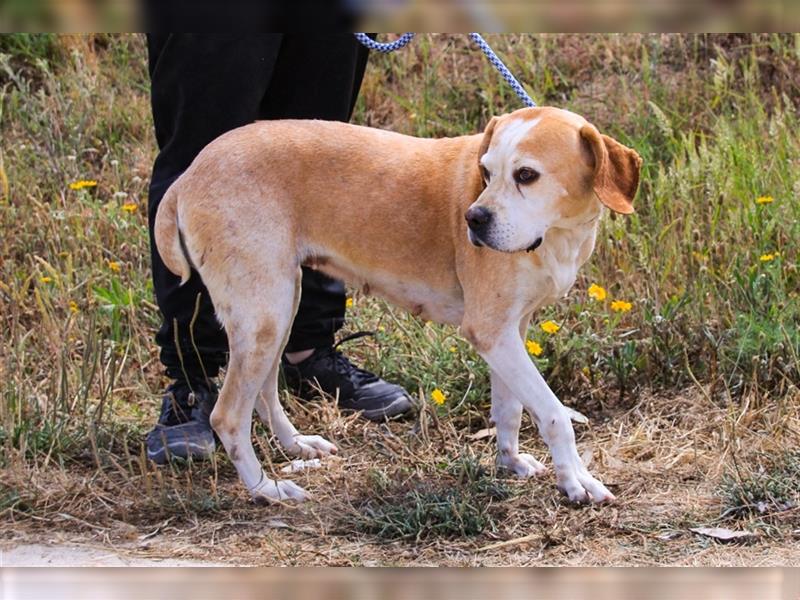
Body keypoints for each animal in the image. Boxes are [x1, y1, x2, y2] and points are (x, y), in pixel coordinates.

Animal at [155, 106, 644, 506]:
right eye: (486, 173)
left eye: (526, 175)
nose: (473, 219)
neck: (557, 234)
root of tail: (189, 173)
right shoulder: (491, 332)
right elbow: (555, 414)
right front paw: (577, 481)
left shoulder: (511, 331)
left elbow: (511, 408)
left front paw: (511, 463)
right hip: (265, 314)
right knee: (227, 415)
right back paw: (266, 490)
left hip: (278, 307)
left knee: (264, 391)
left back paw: (297, 446)